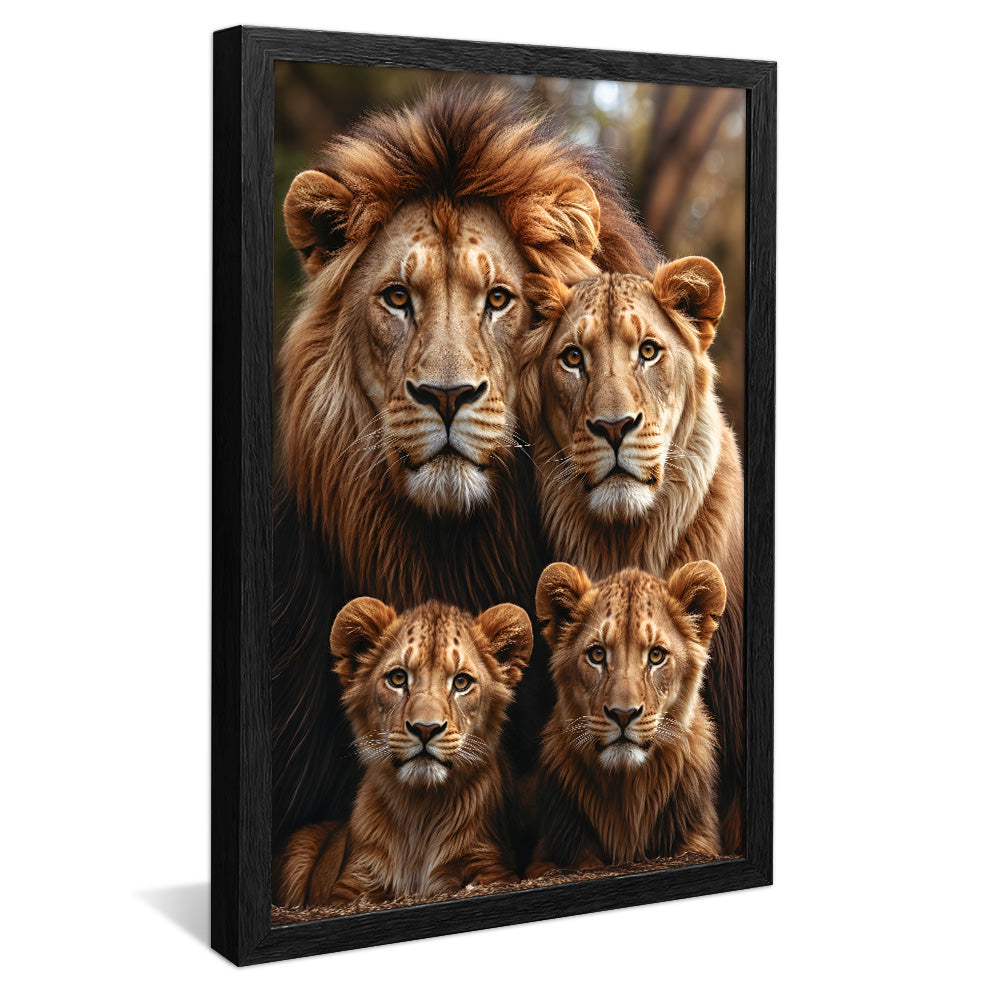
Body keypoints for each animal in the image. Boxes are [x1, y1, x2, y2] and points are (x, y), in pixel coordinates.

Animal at [273, 597, 533, 906]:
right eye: (398, 678)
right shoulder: (352, 882)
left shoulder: (492, 867)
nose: (425, 729)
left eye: (461, 682)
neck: (419, 808)